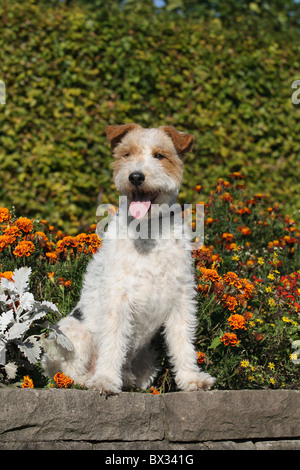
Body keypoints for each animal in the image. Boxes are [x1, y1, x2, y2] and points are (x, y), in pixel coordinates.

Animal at [42, 124, 216, 392]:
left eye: (159, 155)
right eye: (126, 154)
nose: (135, 177)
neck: (147, 233)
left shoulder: (182, 298)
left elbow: (183, 342)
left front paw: (191, 379)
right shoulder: (118, 298)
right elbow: (113, 342)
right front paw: (105, 381)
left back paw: (127, 379)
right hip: (72, 333)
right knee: (67, 373)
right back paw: (92, 379)